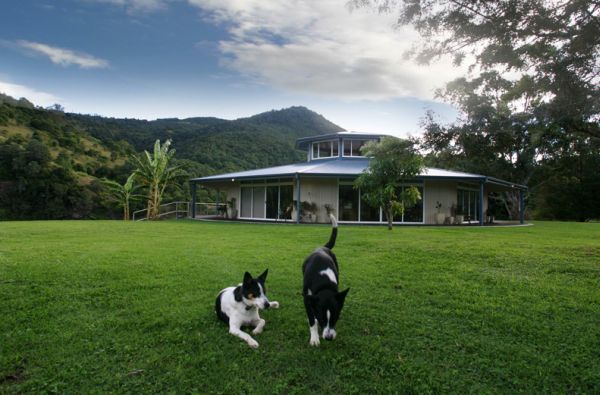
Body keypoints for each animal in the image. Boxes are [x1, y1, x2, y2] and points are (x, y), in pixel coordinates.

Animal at [302, 215, 350, 348]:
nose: (328, 337)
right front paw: (314, 338)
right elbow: (312, 320)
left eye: (335, 317)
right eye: (322, 318)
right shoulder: (306, 298)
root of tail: (322, 247)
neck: (323, 284)